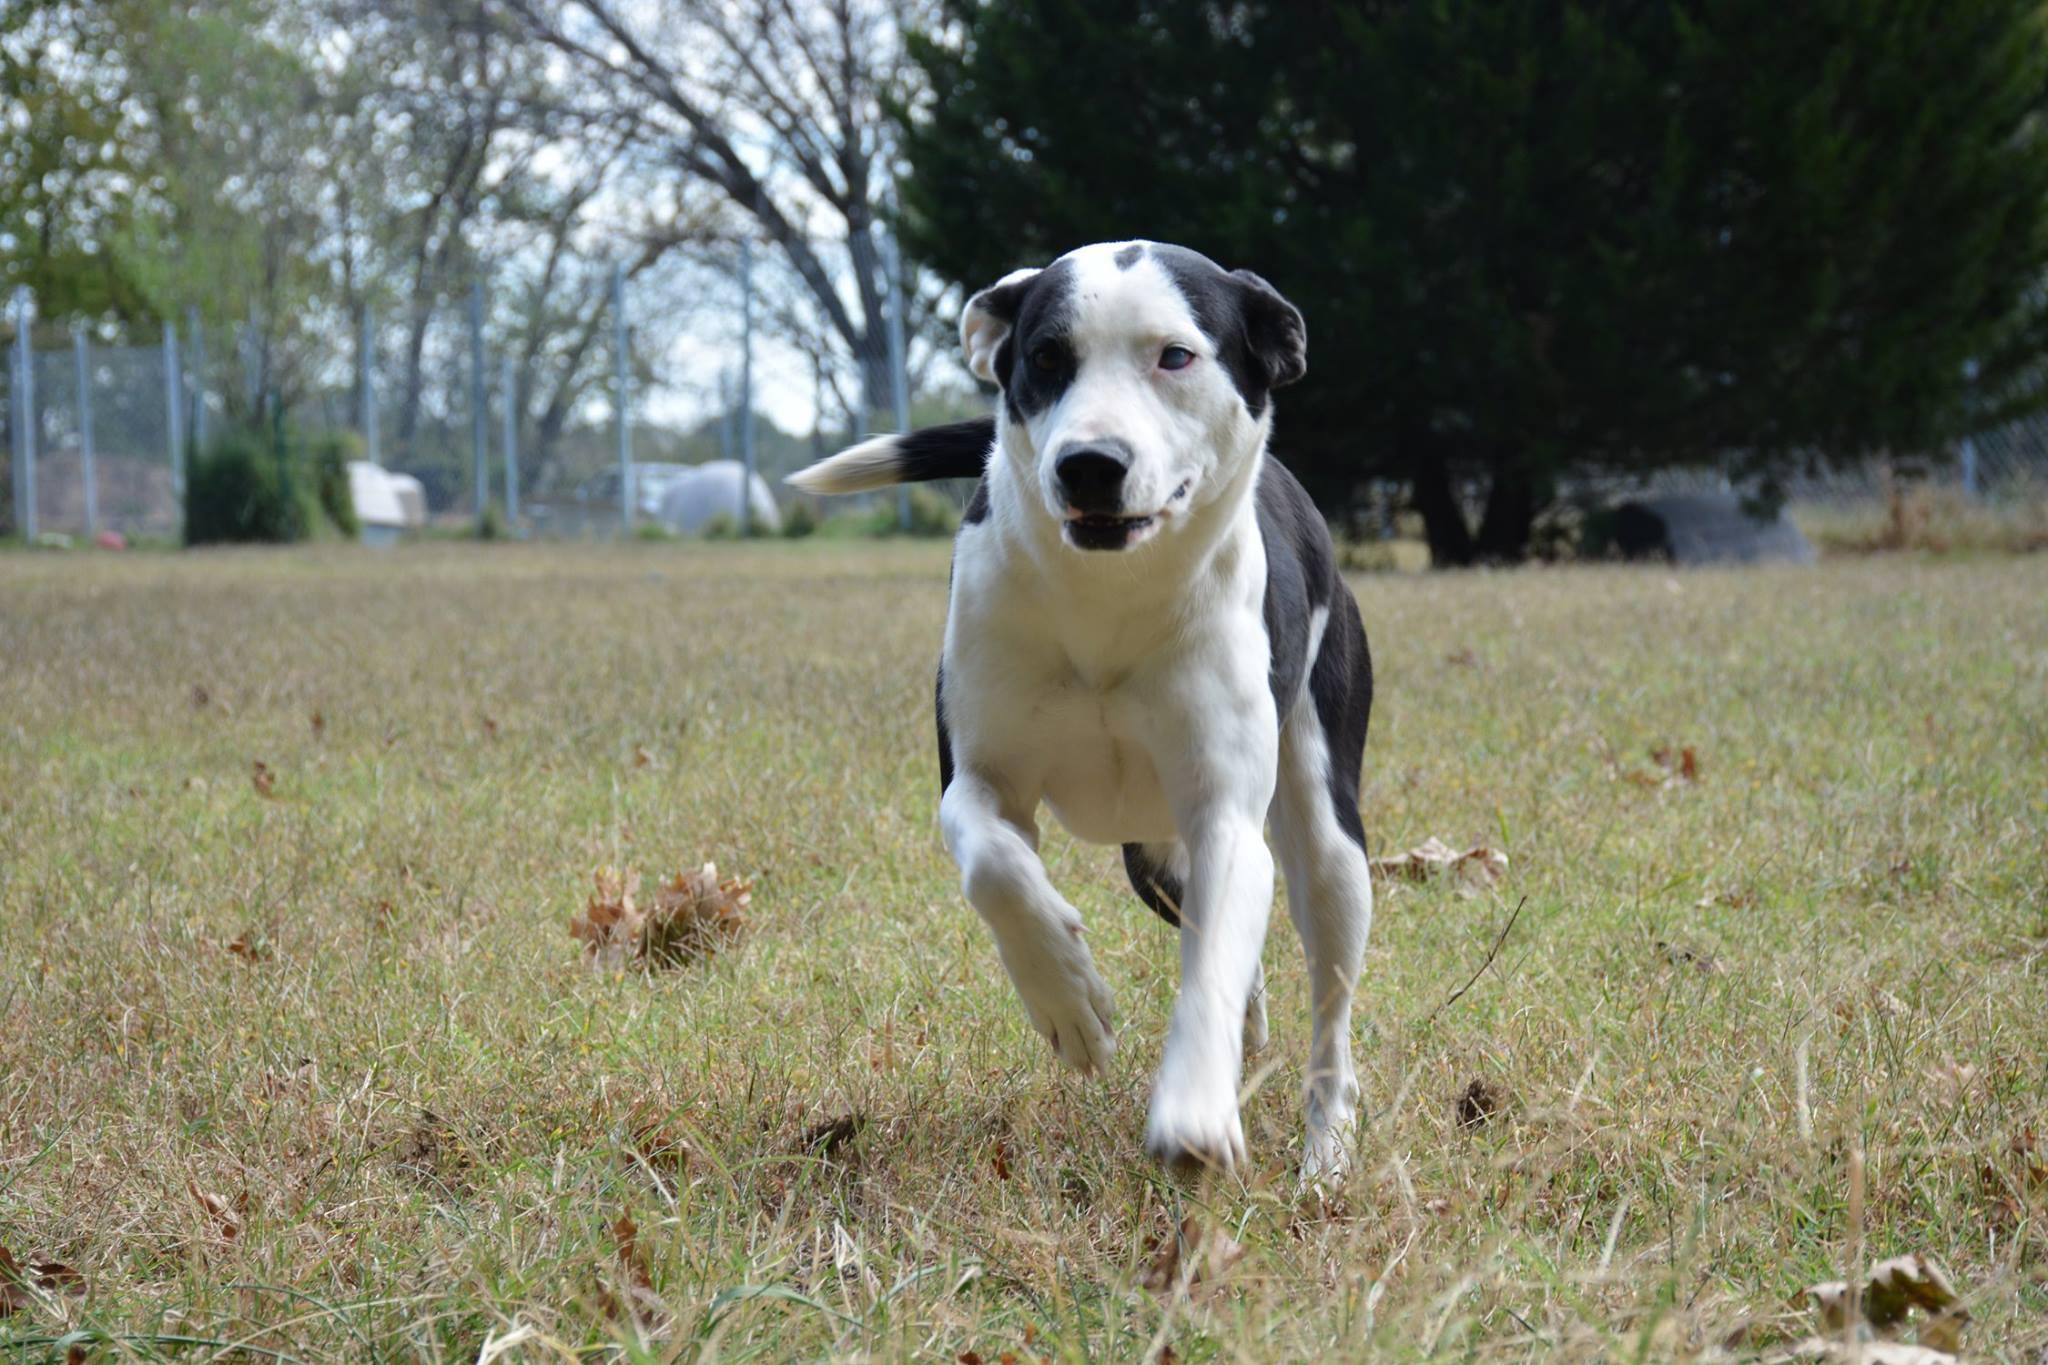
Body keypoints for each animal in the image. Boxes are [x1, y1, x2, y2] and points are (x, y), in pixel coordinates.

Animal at [786, 240, 1376, 1178]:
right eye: (1044, 357)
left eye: (1175, 355)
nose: (1089, 462)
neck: (1109, 595)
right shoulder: (981, 776)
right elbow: (994, 867)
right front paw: (1070, 998)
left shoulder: (1223, 813)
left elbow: (1215, 954)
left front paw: (1195, 1108)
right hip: (1155, 859)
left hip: (1327, 833)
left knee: (1329, 991)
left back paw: (1326, 1149)